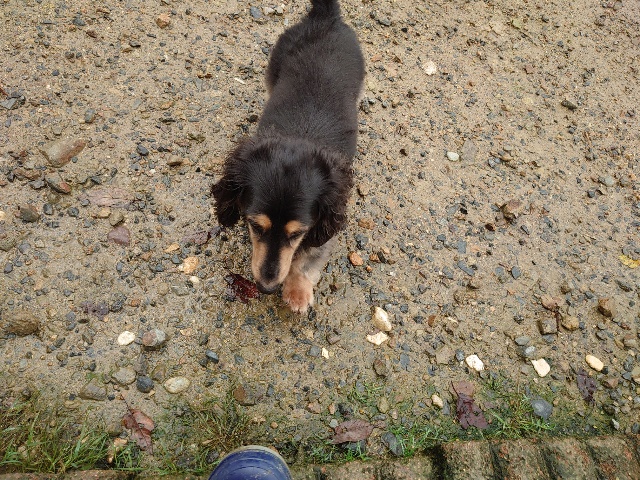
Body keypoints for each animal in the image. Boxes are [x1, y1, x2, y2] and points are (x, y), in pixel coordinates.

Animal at [212, 0, 365, 313]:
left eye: (296, 234)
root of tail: (325, 18)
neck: (298, 137)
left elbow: (308, 258)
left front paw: (297, 290)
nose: (266, 288)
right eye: (254, 226)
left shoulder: (328, 213)